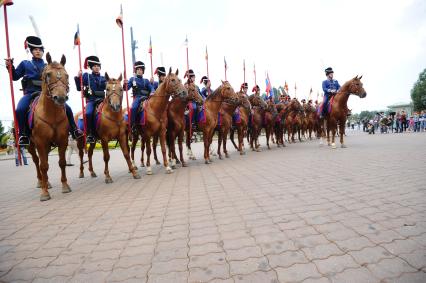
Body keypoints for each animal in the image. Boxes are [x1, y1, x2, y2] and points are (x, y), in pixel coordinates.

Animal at [26, 52, 71, 201]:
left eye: (67, 75)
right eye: (48, 74)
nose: (60, 98)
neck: (52, 114)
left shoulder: (63, 140)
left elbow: (62, 162)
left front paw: (65, 186)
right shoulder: (40, 142)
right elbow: (43, 166)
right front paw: (44, 193)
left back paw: (47, 182)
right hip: (31, 146)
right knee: (37, 162)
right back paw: (42, 182)